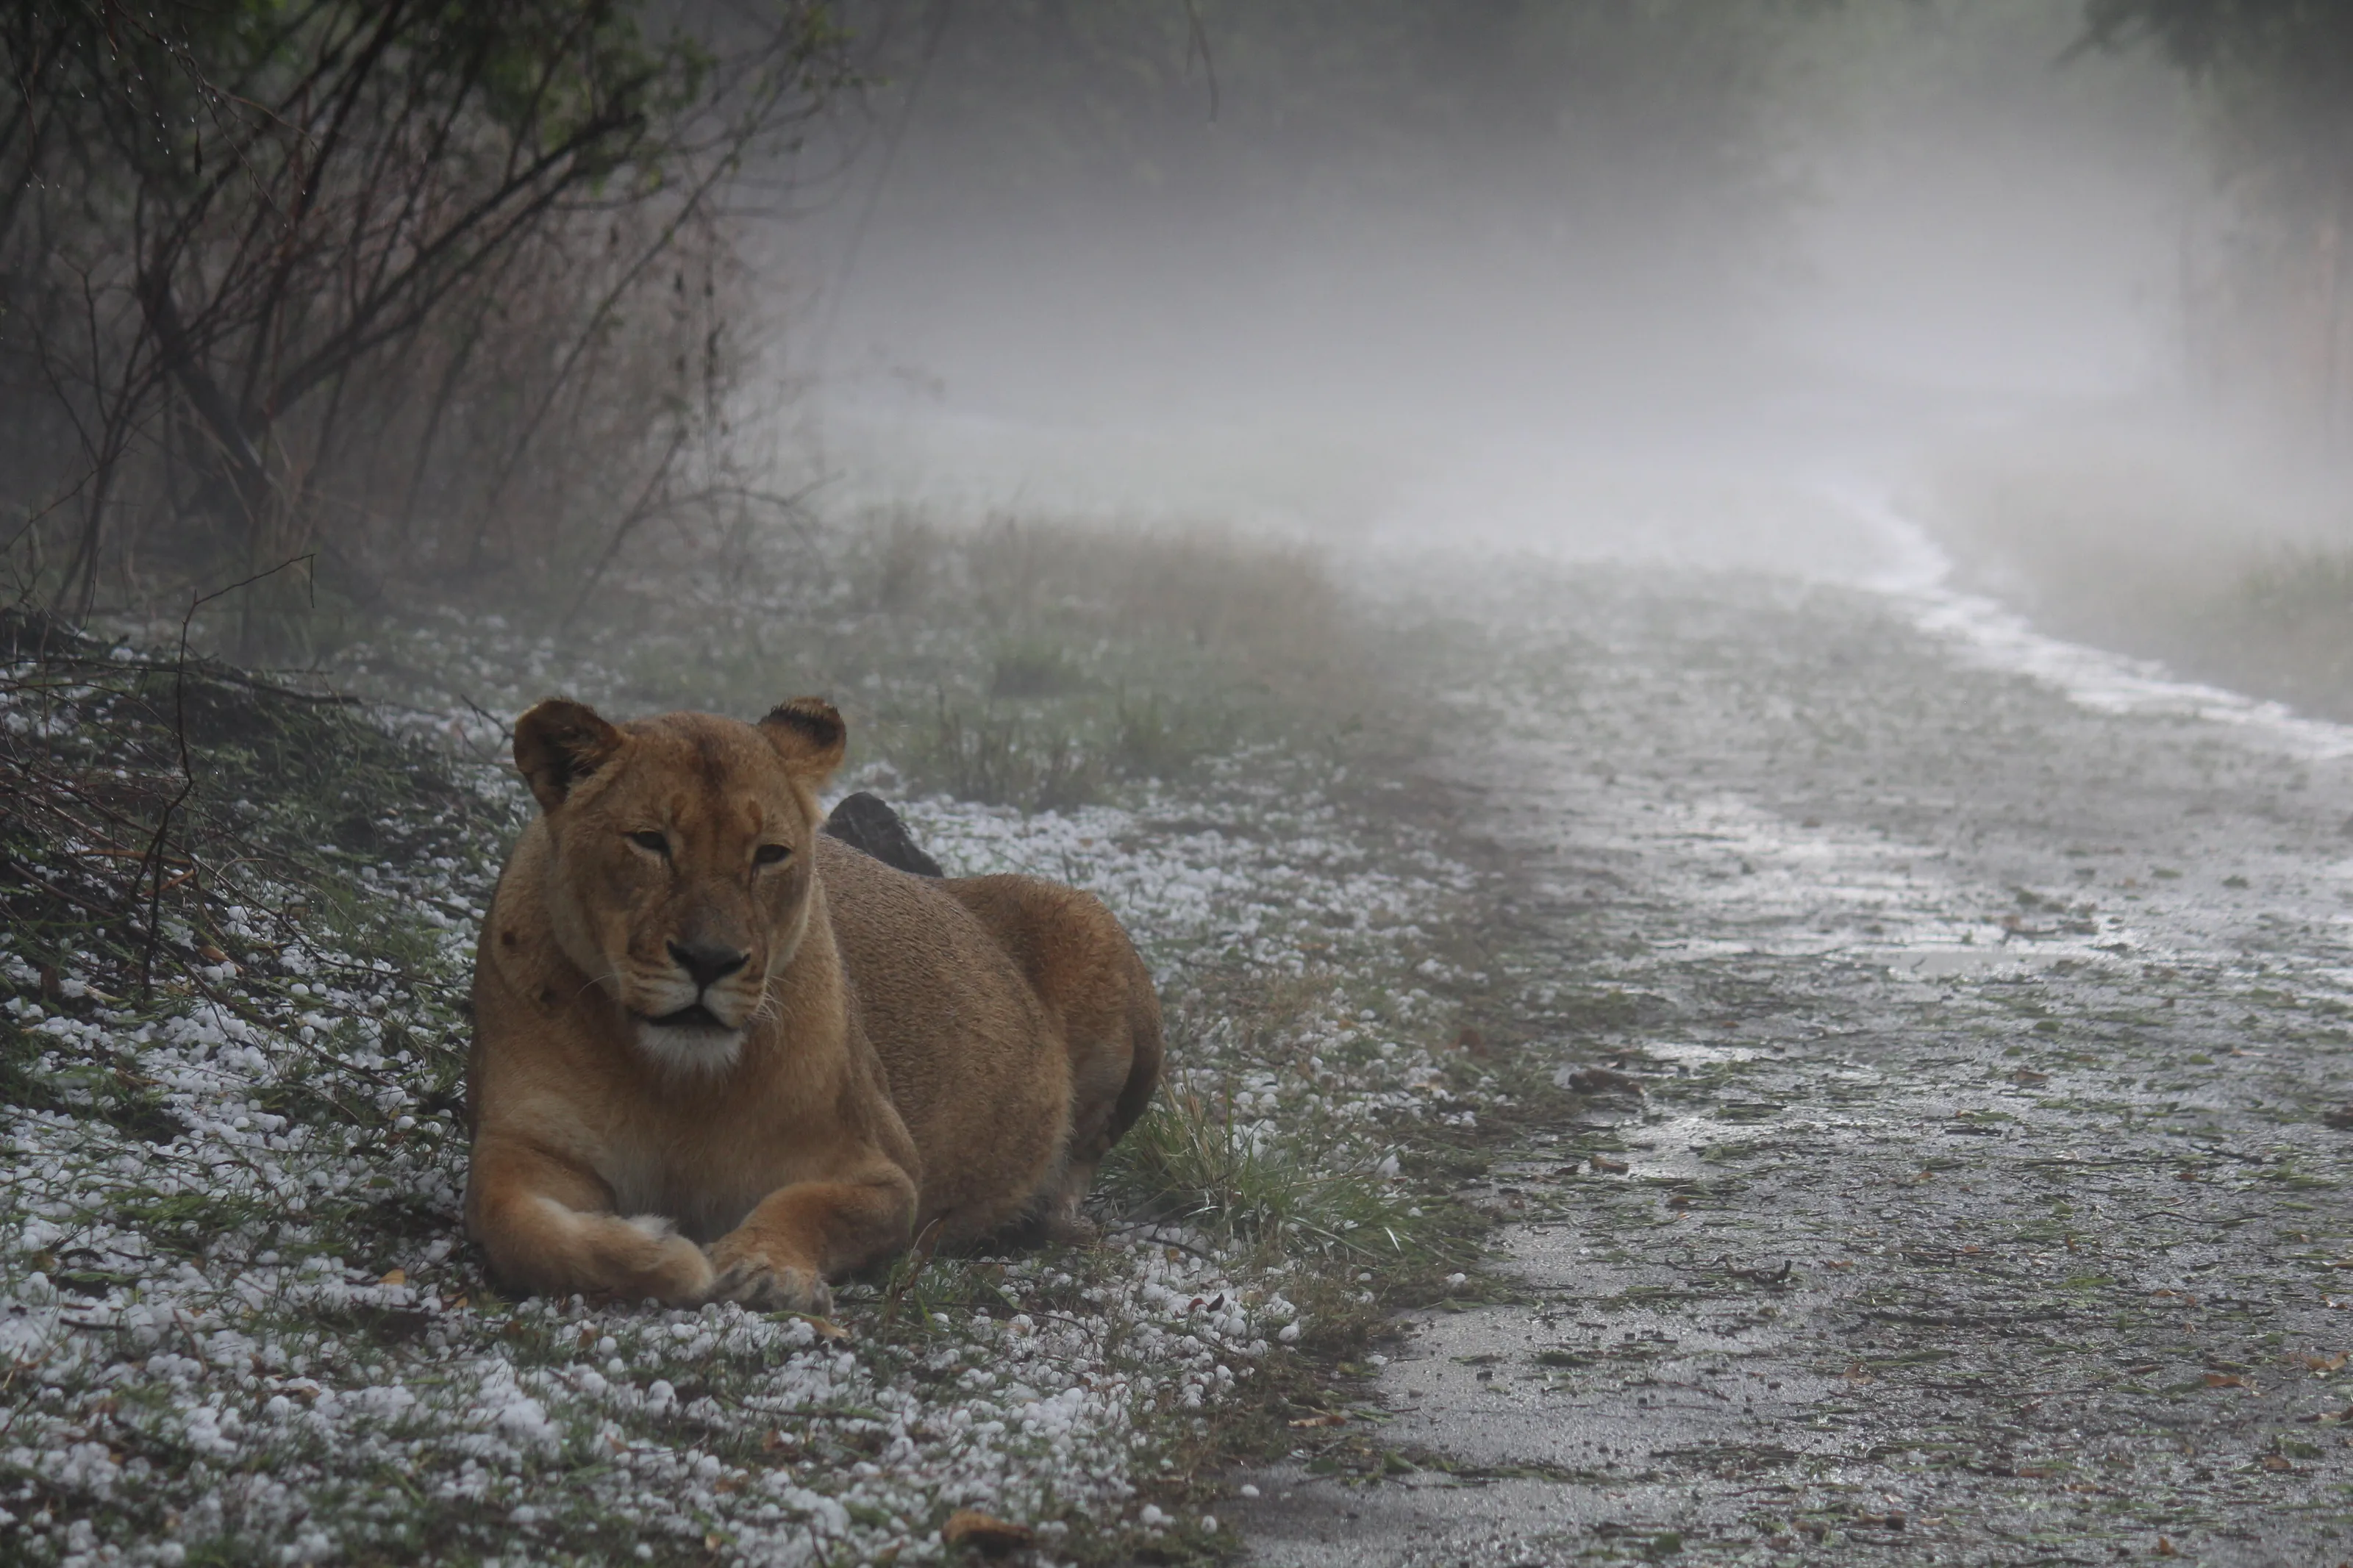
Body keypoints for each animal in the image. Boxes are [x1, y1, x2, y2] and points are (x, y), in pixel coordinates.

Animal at [463, 696, 1162, 1311]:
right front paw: (662, 1253)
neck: (672, 1083)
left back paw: (1047, 1216)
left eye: (770, 853)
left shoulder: (884, 1169)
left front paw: (764, 1268)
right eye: (649, 841)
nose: (710, 960)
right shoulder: (524, 1143)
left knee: (1085, 1152)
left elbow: (813, 1206)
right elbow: (512, 1224)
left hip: (1094, 936)